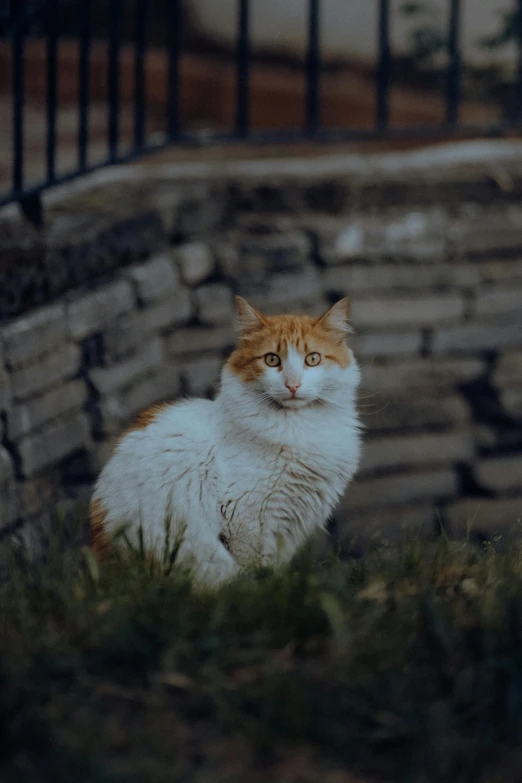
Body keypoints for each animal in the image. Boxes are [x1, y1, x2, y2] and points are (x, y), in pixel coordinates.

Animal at [89, 298, 360, 584]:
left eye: (313, 359)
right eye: (272, 359)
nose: (293, 385)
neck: (298, 427)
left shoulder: (288, 528)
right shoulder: (246, 521)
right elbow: (260, 571)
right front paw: (263, 589)